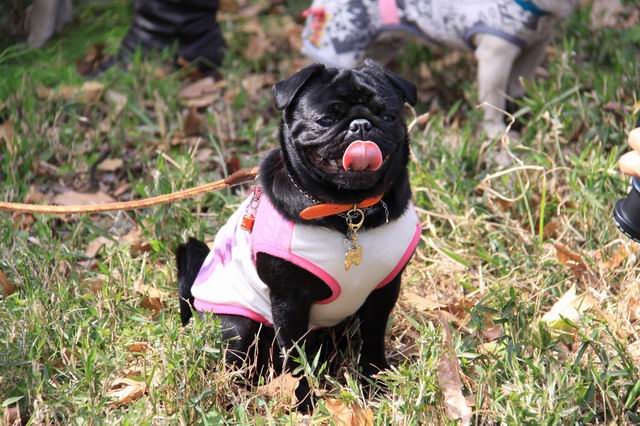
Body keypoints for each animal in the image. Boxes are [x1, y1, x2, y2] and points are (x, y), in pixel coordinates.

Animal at [176, 60, 420, 410]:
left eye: (387, 116)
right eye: (325, 120)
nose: (361, 125)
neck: (349, 212)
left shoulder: (383, 290)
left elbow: (373, 341)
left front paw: (375, 385)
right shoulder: (289, 303)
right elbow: (295, 359)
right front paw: (303, 403)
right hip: (239, 324)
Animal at [301, 0, 579, 137]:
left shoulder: (536, 45)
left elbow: (520, 85)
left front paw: (525, 110)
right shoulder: (496, 54)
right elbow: (493, 101)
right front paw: (499, 134)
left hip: (382, 46)